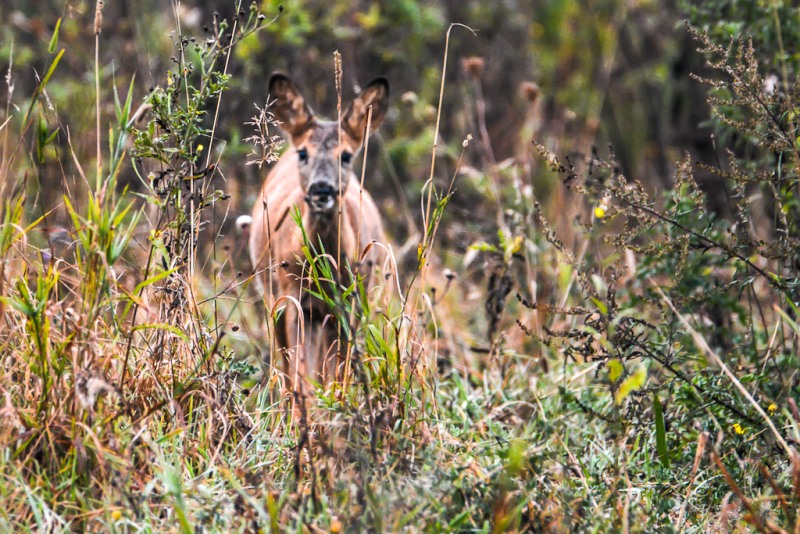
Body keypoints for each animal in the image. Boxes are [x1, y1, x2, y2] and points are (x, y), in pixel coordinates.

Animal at [248, 73, 390, 400]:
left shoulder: (350, 301)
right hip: (274, 297)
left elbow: (336, 370)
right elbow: (300, 375)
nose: (321, 189)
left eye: (346, 156)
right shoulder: (294, 297)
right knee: (286, 362)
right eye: (304, 153)